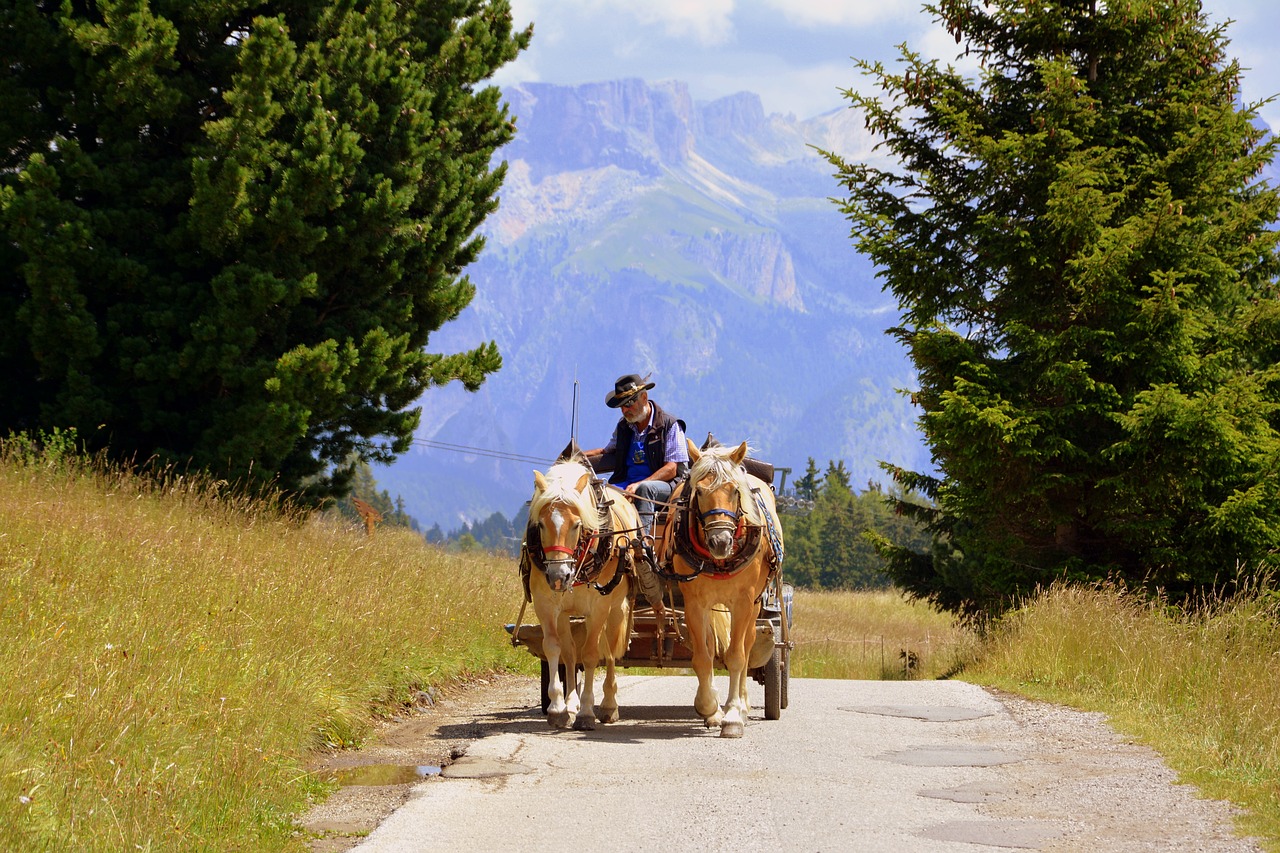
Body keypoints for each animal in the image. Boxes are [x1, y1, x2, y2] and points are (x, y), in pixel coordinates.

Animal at [522, 455, 637, 727]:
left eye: (576, 525)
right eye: (540, 525)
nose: (558, 576)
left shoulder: (598, 608)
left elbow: (592, 654)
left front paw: (586, 711)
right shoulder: (546, 604)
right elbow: (554, 648)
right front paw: (558, 708)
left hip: (616, 609)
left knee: (610, 652)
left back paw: (608, 705)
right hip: (566, 614)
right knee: (570, 653)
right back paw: (571, 702)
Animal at [670, 438, 778, 732]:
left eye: (734, 490)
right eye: (699, 491)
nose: (720, 542)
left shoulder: (743, 602)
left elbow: (737, 656)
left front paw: (733, 714)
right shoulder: (695, 603)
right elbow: (703, 656)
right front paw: (710, 707)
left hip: (755, 604)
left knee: (748, 645)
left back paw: (742, 704)